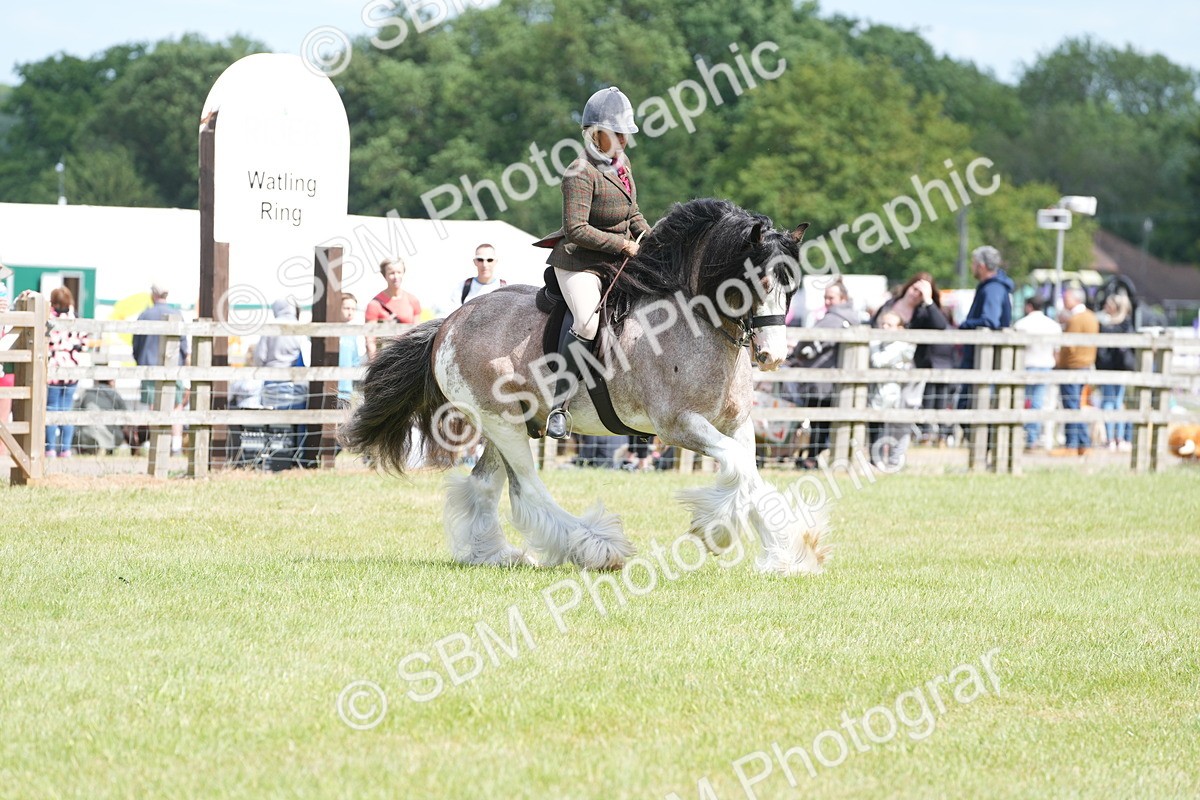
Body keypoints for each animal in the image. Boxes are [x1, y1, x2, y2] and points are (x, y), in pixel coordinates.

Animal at [340, 198, 832, 576]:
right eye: (757, 281)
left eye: (792, 286)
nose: (773, 356)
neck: (696, 324)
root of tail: (450, 323)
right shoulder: (678, 426)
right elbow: (738, 469)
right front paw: (717, 531)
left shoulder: (735, 424)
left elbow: (750, 477)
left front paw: (786, 555)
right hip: (503, 424)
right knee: (527, 490)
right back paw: (596, 547)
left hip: (504, 424)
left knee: (484, 486)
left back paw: (493, 555)